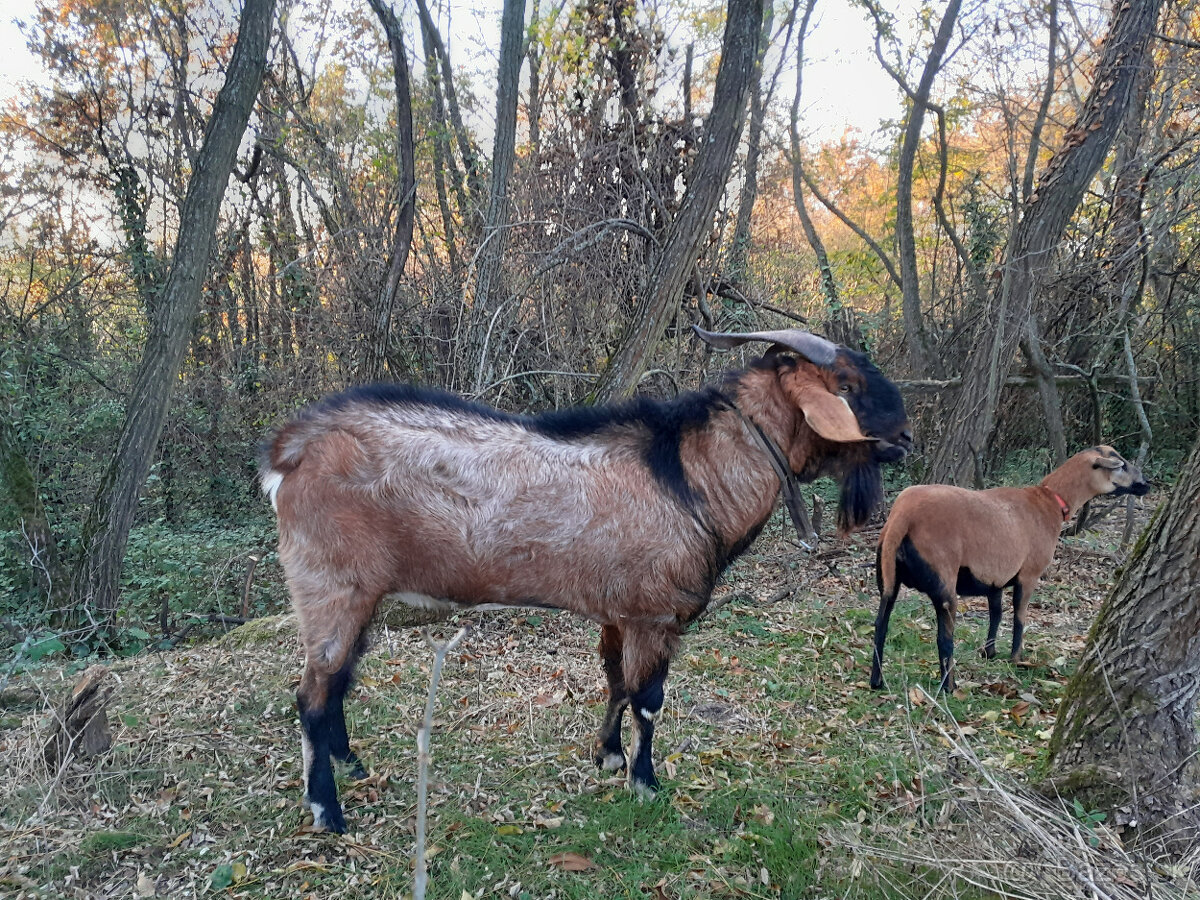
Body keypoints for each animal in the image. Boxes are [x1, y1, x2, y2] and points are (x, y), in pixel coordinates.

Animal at [260, 328, 907, 835]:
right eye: (846, 385)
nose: (904, 438)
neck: (689, 477)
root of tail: (293, 450)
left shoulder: (620, 610)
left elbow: (615, 682)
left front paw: (608, 756)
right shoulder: (654, 612)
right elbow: (648, 699)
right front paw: (645, 782)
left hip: (361, 595)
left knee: (338, 681)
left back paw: (351, 765)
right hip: (330, 586)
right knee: (312, 694)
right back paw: (328, 811)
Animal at [873, 448, 1152, 696]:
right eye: (1121, 465)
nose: (1146, 484)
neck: (1049, 502)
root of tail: (903, 516)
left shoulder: (994, 579)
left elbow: (996, 615)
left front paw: (989, 652)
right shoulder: (1029, 575)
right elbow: (1019, 617)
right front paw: (1017, 658)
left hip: (888, 578)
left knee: (880, 627)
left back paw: (877, 682)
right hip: (944, 581)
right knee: (944, 638)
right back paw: (949, 687)